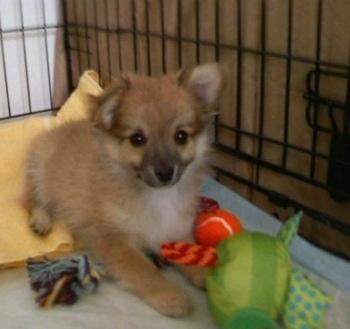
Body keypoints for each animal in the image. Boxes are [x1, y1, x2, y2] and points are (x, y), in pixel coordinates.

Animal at [25, 62, 227, 316]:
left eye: (181, 136)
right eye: (137, 139)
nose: (165, 172)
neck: (157, 197)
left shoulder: (175, 230)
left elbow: (193, 253)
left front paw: (208, 277)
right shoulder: (116, 240)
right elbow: (144, 270)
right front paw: (170, 297)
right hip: (39, 171)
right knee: (34, 200)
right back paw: (41, 221)